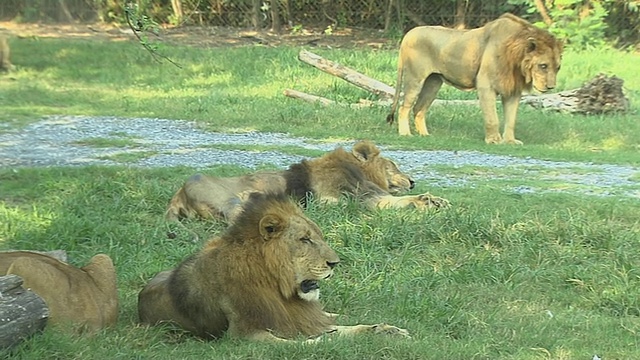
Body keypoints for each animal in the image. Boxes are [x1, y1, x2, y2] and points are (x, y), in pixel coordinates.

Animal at [140, 193, 410, 342]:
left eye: (319, 237)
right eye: (305, 239)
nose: (335, 263)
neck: (275, 286)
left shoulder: (297, 317)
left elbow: (346, 327)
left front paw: (386, 330)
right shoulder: (244, 336)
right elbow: (303, 342)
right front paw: (324, 340)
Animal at [165, 140, 450, 222]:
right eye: (393, 165)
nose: (413, 180)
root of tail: (178, 193)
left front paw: (437, 201)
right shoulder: (339, 199)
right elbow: (390, 202)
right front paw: (425, 201)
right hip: (227, 197)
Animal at [384, 12, 560, 145]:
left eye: (557, 67)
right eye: (543, 66)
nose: (551, 87)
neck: (516, 61)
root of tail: (408, 34)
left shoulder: (513, 90)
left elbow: (511, 120)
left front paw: (510, 141)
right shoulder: (485, 85)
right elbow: (492, 117)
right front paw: (493, 140)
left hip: (433, 83)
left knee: (419, 109)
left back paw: (425, 135)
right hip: (415, 78)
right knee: (404, 107)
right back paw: (405, 134)